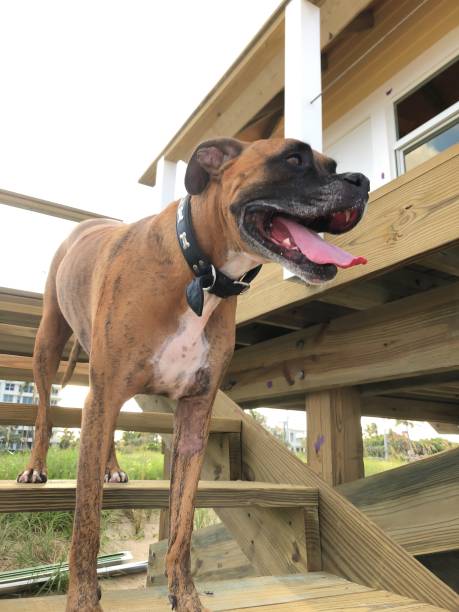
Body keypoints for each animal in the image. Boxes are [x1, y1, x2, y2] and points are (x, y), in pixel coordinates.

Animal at [17, 139, 370, 612]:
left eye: (332, 164)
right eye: (293, 158)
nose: (360, 181)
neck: (201, 271)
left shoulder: (193, 419)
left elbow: (182, 527)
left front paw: (184, 595)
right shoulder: (103, 395)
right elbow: (86, 525)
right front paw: (84, 600)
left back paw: (112, 468)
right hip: (50, 344)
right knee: (43, 411)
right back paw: (35, 467)